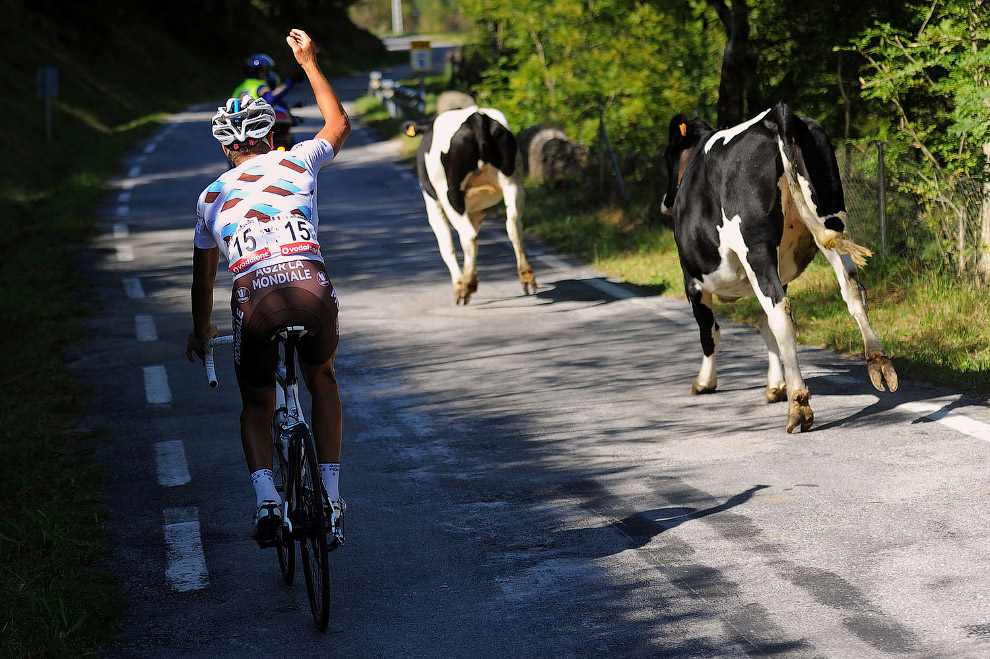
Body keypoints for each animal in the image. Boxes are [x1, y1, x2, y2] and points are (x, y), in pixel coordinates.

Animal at [404, 107, 540, 304]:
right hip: (513, 182)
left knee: (468, 236)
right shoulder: (479, 208)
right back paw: (527, 277)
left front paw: (460, 284)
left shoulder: (433, 204)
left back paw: (465, 286)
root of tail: (476, 117)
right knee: (513, 226)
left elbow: (446, 246)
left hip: (451, 195)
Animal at [664, 103, 904, 434]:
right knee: (852, 290)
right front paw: (776, 386)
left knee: (780, 312)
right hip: (831, 219)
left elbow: (710, 331)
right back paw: (878, 363)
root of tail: (775, 113)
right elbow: (764, 328)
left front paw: (704, 383)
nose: (665, 201)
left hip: (756, 247)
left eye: (667, 156)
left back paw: (799, 404)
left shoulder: (693, 281)